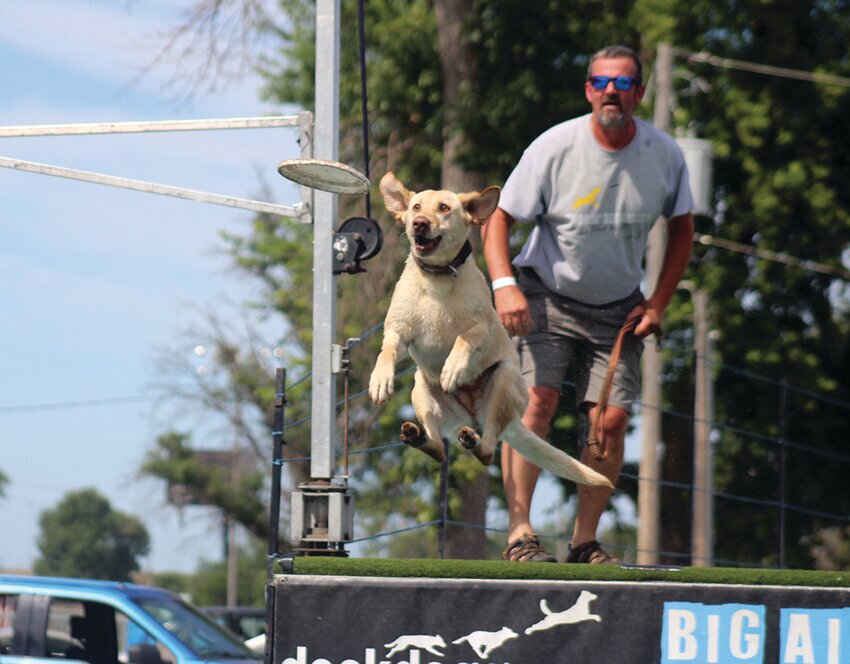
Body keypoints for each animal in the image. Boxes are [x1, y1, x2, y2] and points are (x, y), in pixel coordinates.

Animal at [370, 174, 608, 490]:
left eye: (444, 207)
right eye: (415, 207)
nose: (419, 223)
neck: (437, 278)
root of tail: (474, 418)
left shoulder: (485, 326)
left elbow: (465, 337)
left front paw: (454, 368)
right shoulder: (398, 330)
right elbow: (386, 350)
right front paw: (380, 379)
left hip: (504, 381)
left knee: (488, 451)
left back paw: (475, 442)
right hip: (422, 388)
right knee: (439, 449)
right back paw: (420, 437)